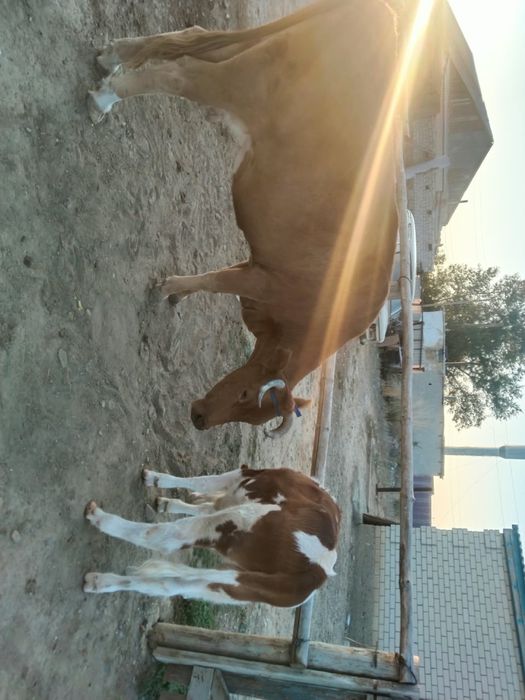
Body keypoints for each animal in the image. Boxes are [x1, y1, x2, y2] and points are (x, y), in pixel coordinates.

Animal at [83, 465, 341, 608]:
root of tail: (318, 571)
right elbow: (203, 499)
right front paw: (168, 502)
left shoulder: (241, 476)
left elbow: (202, 481)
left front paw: (155, 479)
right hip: (230, 586)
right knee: (170, 585)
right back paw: (100, 582)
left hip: (237, 522)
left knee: (164, 536)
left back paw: (99, 517)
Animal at [88, 0, 399, 435]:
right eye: (248, 394)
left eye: (255, 417)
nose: (199, 419)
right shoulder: (263, 280)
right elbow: (217, 280)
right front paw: (169, 287)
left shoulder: (257, 265)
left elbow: (215, 274)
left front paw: (177, 291)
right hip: (242, 82)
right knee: (181, 71)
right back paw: (105, 98)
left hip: (247, 52)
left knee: (191, 39)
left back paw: (111, 56)